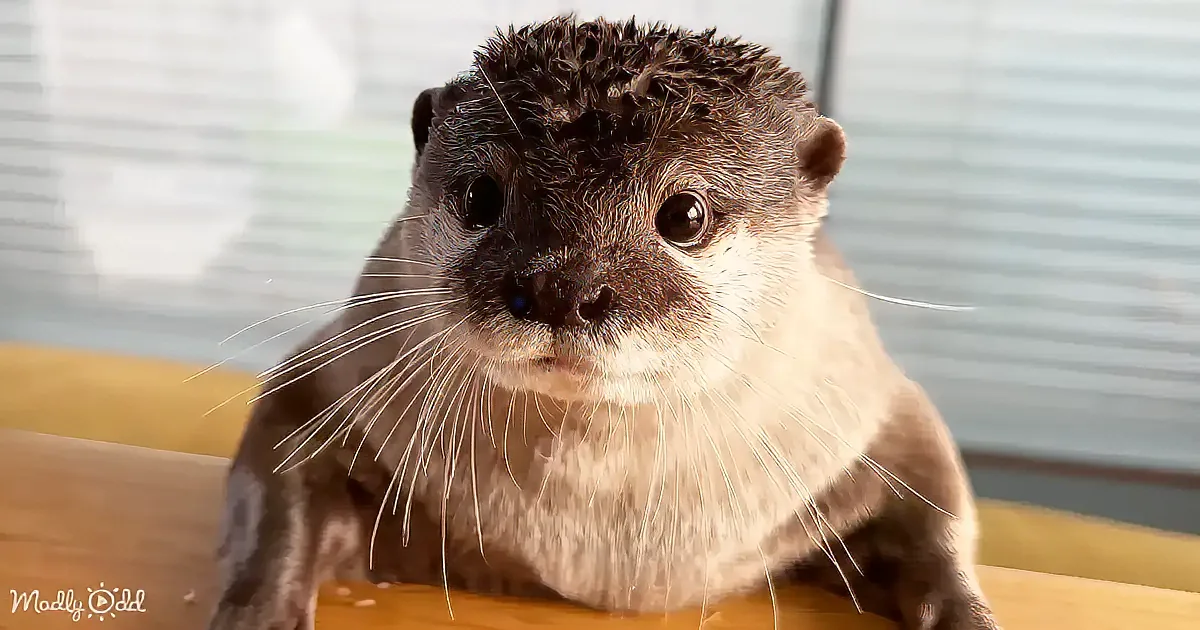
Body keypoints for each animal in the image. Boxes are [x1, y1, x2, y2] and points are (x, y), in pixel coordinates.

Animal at [206, 15, 999, 630]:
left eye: (685, 215)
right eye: (481, 195)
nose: (561, 287)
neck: (596, 551)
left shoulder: (877, 410)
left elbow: (940, 509)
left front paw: (967, 612)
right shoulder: (331, 373)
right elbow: (276, 477)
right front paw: (260, 608)